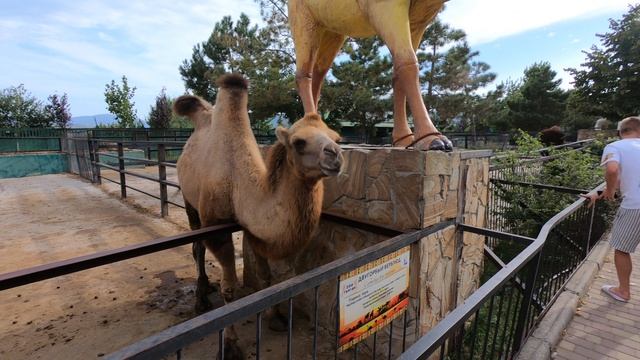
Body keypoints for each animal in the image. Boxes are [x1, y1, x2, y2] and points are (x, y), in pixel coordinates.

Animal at [175, 74, 342, 358]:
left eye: (336, 137)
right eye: (299, 142)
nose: (336, 156)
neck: (238, 185)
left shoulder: (253, 230)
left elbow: (266, 277)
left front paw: (276, 318)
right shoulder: (217, 229)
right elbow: (229, 289)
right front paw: (230, 346)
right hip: (190, 202)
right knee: (197, 247)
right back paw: (201, 298)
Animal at [290, 0, 456, 150]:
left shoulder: (418, 18)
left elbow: (398, 73)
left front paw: (404, 139)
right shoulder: (385, 7)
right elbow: (408, 63)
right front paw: (433, 138)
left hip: (332, 30)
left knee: (318, 75)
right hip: (304, 21)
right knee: (303, 74)